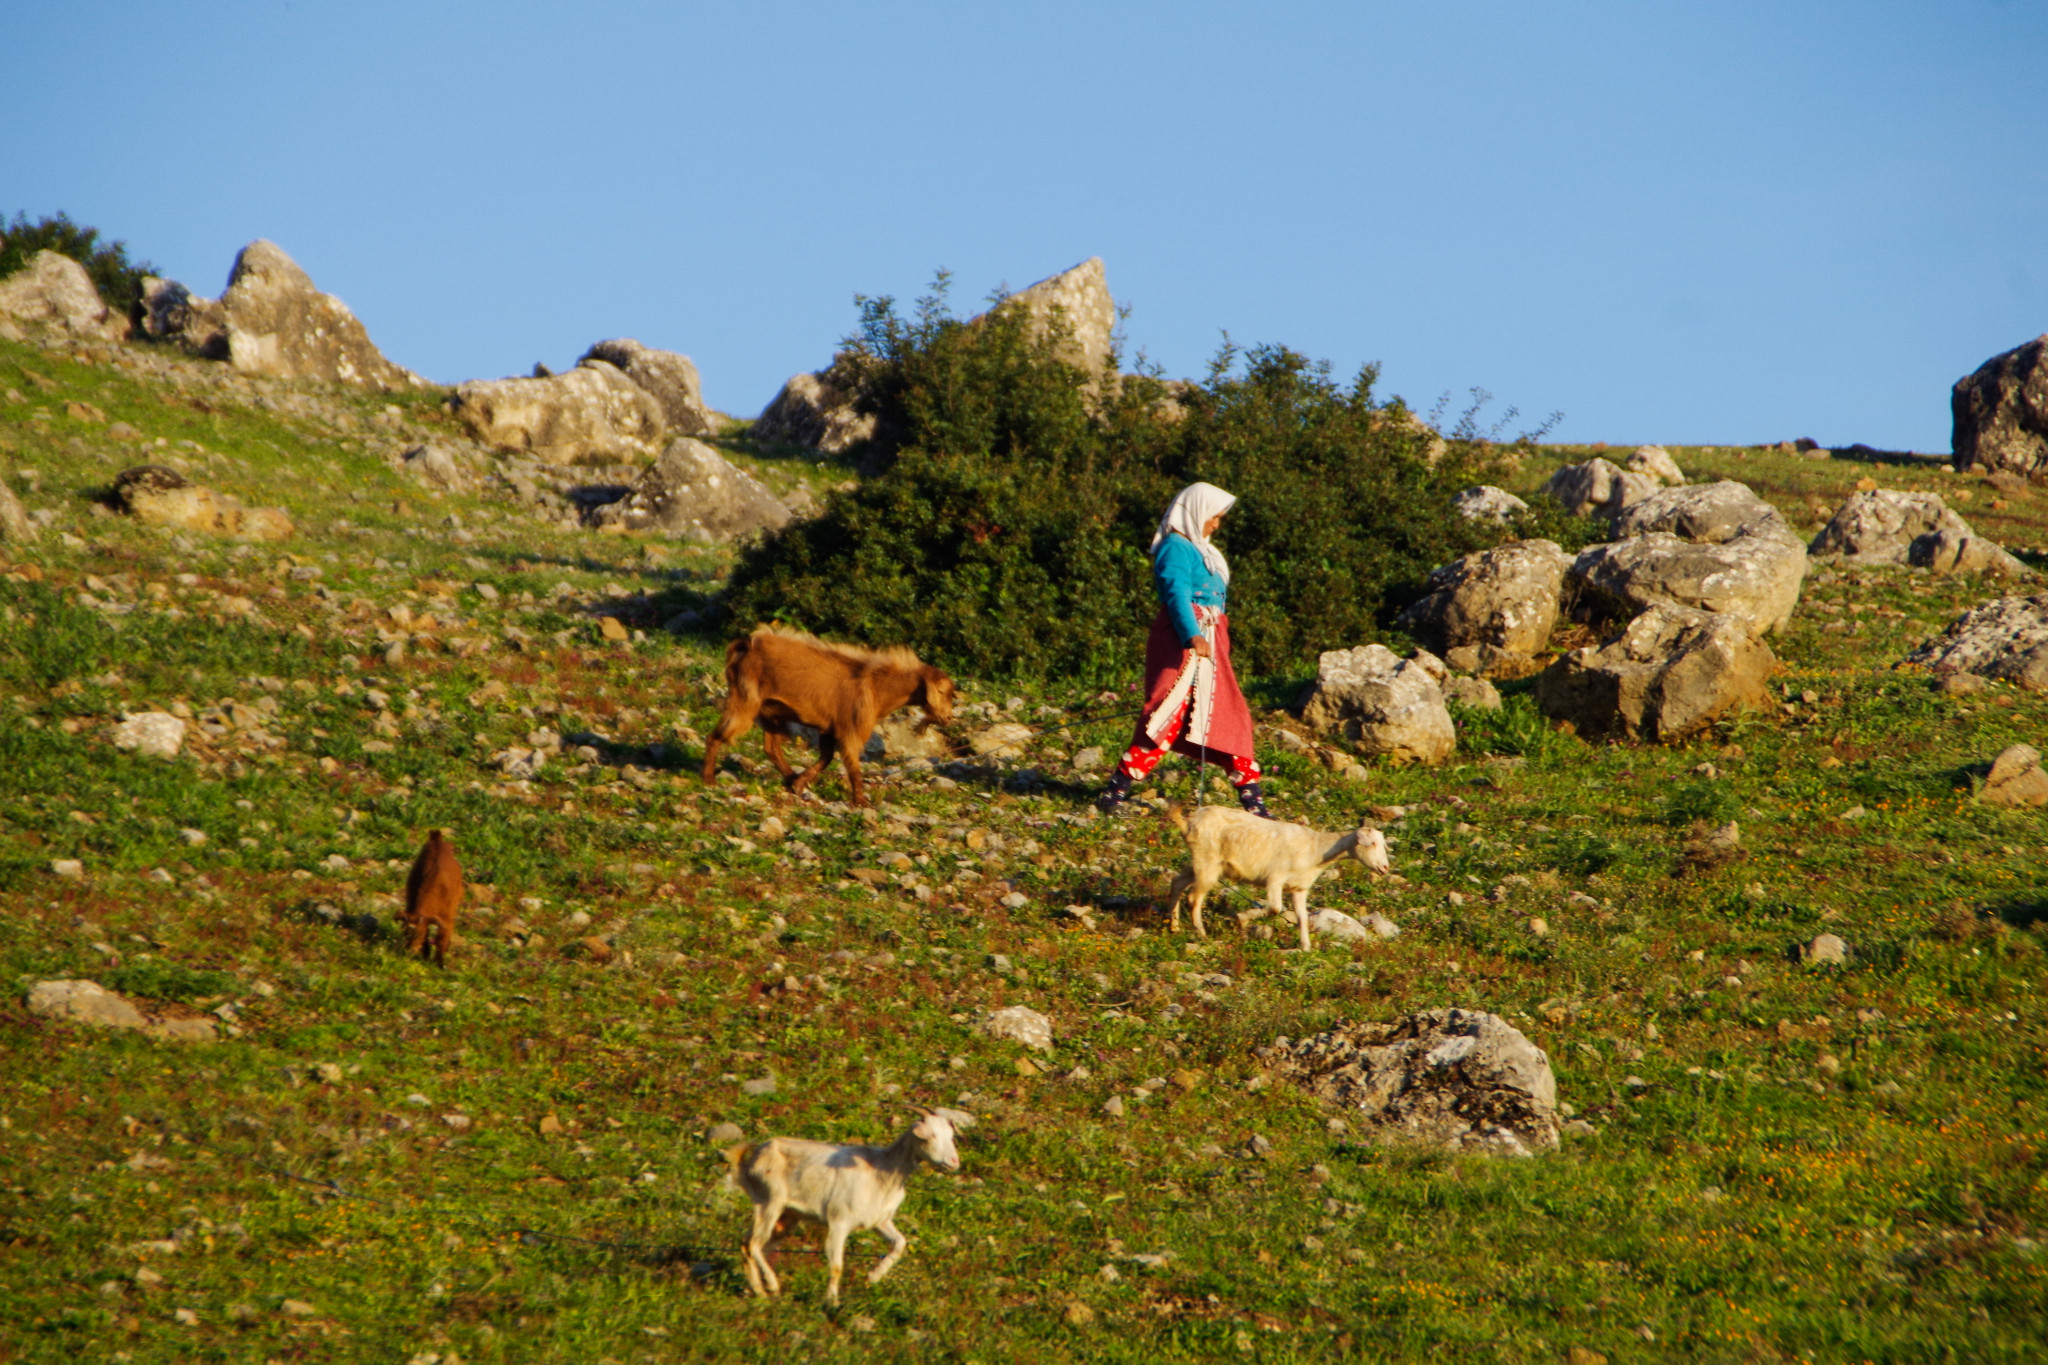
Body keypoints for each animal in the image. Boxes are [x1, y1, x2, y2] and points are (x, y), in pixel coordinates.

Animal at [401, 826, 462, 965]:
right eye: (405, 932)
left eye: (419, 934)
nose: (408, 951)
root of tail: (437, 839)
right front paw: (426, 954)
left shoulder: (447, 916)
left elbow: (442, 937)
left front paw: (439, 963)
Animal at [700, 630, 954, 810]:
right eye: (943, 692)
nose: (947, 717)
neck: (877, 687)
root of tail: (744, 648)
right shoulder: (850, 729)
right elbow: (852, 765)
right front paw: (860, 801)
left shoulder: (829, 729)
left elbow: (826, 757)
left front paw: (799, 783)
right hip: (745, 701)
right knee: (715, 736)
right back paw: (709, 778)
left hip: (769, 711)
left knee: (771, 748)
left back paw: (790, 776)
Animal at [724, 1113, 962, 1301]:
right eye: (931, 1135)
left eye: (950, 1136)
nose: (954, 1162)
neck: (882, 1172)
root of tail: (750, 1162)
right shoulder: (839, 1222)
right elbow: (837, 1264)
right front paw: (832, 1302)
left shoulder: (880, 1221)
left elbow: (900, 1243)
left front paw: (873, 1277)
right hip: (769, 1202)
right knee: (754, 1244)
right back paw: (772, 1286)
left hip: (786, 1216)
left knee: (748, 1244)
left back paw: (759, 1291)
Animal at [1171, 802, 1392, 949]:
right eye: (1371, 843)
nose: (1384, 868)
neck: (1315, 849)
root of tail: (1189, 822)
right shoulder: (1275, 879)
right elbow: (1276, 908)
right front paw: (1242, 919)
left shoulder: (1299, 888)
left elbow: (1302, 917)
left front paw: (1305, 947)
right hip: (1208, 862)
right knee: (1194, 897)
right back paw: (1200, 932)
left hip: (1201, 862)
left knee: (1177, 882)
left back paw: (1174, 926)